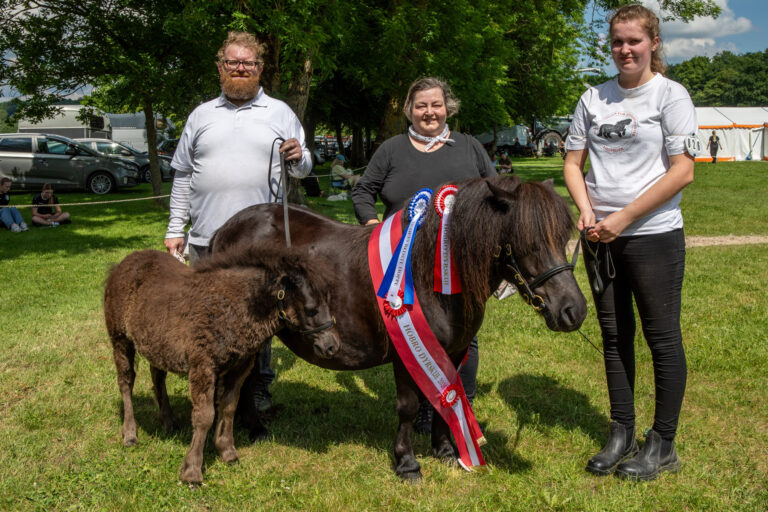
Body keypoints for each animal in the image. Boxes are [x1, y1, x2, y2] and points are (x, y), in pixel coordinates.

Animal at [103, 246, 340, 486]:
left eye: (329, 302)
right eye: (310, 309)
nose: (332, 346)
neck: (234, 308)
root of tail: (121, 265)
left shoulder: (239, 367)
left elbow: (229, 407)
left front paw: (227, 451)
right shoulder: (203, 366)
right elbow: (204, 416)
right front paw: (192, 471)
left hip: (156, 344)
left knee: (157, 378)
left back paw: (168, 421)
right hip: (120, 339)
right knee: (126, 382)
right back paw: (130, 434)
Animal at [210, 175, 588, 480]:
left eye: (562, 238)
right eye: (528, 242)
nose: (574, 310)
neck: (431, 275)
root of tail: (224, 230)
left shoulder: (453, 352)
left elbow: (447, 398)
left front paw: (446, 452)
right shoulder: (406, 353)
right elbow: (408, 407)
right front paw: (407, 464)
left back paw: (254, 429)